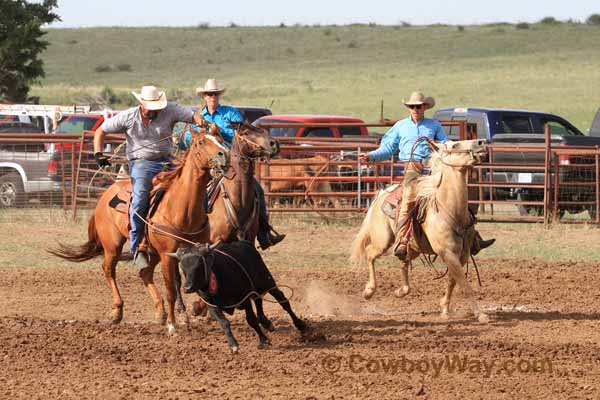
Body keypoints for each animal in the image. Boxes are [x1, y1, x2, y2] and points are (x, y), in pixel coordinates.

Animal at [49, 126, 230, 334]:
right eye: (201, 142)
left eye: (219, 139)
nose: (224, 154)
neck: (182, 206)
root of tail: (108, 192)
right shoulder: (168, 255)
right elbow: (171, 290)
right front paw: (173, 325)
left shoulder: (197, 251)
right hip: (113, 245)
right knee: (109, 269)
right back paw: (117, 312)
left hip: (152, 251)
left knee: (145, 273)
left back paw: (160, 313)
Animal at [350, 139, 490, 324]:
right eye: (455, 145)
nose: (482, 142)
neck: (451, 211)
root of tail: (382, 193)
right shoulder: (447, 253)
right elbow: (464, 283)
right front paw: (480, 315)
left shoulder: (462, 254)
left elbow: (453, 280)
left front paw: (444, 308)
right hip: (383, 240)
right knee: (370, 253)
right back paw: (369, 291)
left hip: (412, 246)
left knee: (403, 261)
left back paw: (401, 290)